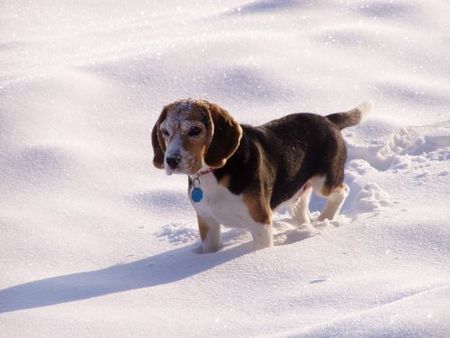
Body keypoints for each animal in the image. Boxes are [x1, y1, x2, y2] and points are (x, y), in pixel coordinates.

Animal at [153, 99, 370, 252]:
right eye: (165, 131)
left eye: (195, 130)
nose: (171, 160)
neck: (213, 173)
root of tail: (328, 119)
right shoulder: (207, 222)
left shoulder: (261, 222)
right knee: (300, 207)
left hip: (324, 182)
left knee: (341, 191)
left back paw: (325, 218)